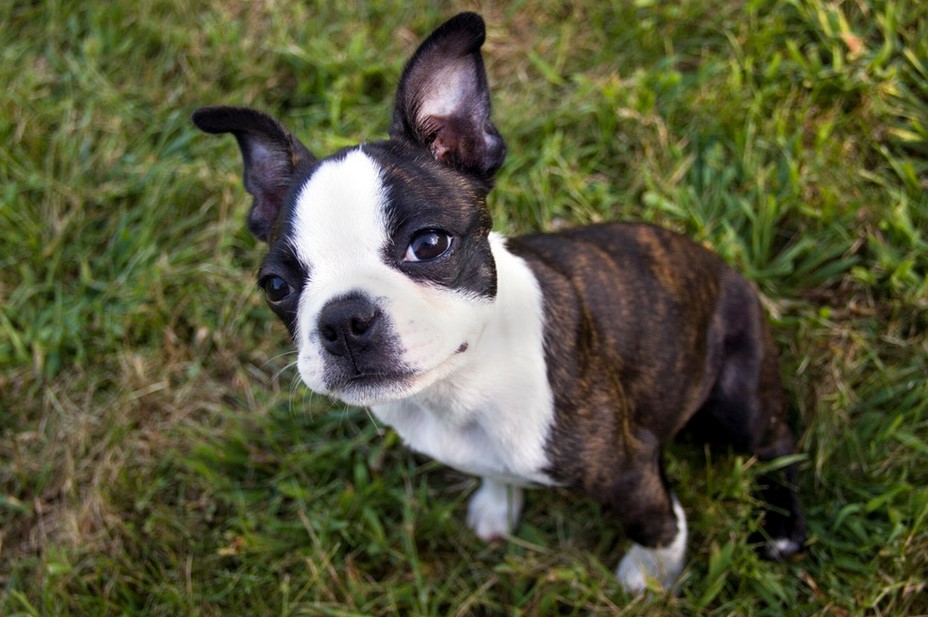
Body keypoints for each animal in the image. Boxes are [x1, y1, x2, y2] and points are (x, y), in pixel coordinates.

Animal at [194, 13, 804, 592]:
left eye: (429, 244)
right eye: (276, 287)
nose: (344, 319)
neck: (457, 388)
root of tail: (724, 267)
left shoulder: (628, 469)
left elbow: (655, 520)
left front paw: (652, 573)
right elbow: (498, 472)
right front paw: (497, 502)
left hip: (738, 391)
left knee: (777, 443)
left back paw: (781, 529)